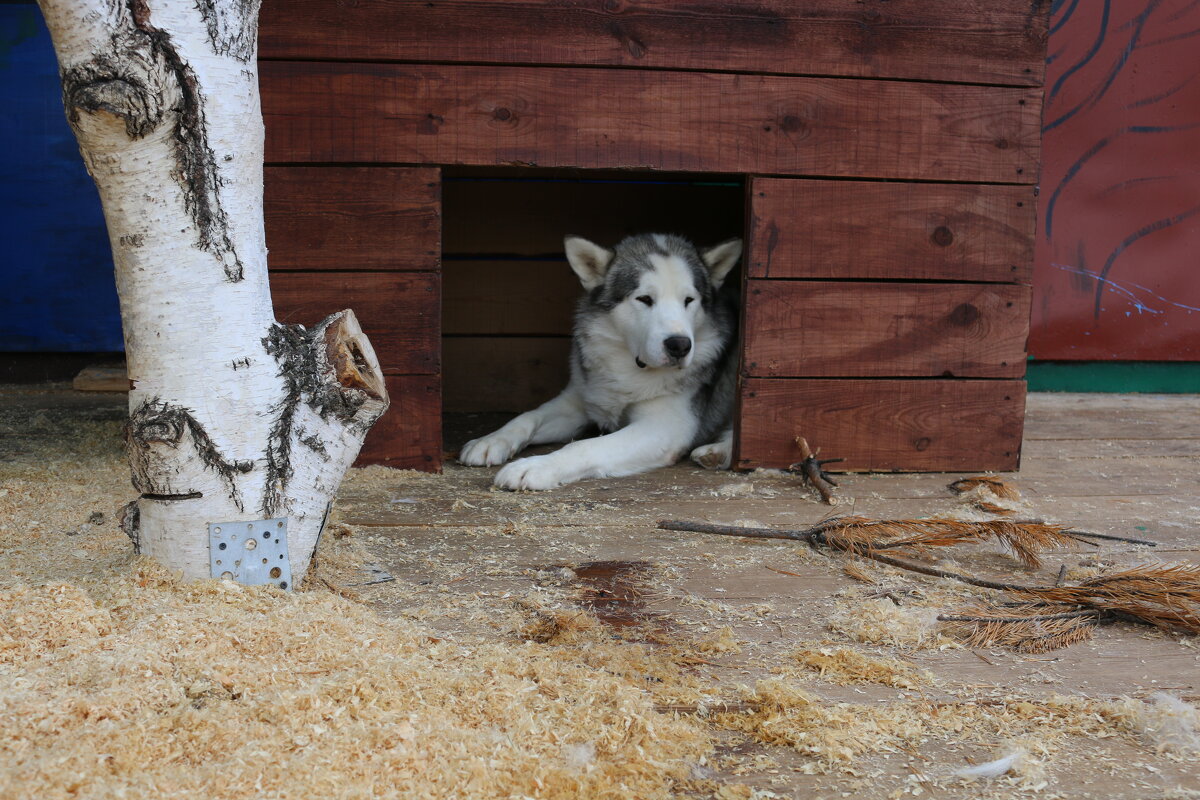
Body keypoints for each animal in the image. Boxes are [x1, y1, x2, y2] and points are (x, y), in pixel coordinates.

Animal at [458, 235, 739, 491]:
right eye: (645, 299)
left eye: (689, 300)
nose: (680, 346)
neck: (629, 367)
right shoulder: (577, 403)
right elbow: (528, 416)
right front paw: (491, 439)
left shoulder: (667, 425)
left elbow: (582, 445)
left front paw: (536, 467)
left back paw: (719, 451)